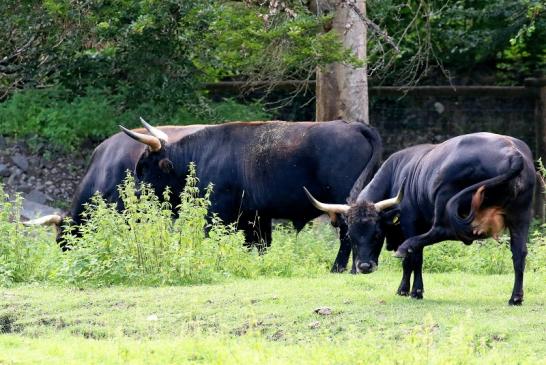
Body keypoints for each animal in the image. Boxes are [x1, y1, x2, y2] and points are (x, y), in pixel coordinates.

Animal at [119, 119, 380, 270]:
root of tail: (353, 126)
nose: (133, 196)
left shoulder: (218, 213)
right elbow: (260, 245)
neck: (199, 156)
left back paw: (340, 267)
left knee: (347, 234)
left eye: (144, 168)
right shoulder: (256, 216)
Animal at [306, 132, 536, 302]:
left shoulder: (411, 223)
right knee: (519, 253)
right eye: (351, 236)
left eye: (377, 234)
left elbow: (414, 258)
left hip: (446, 200)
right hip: (520, 217)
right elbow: (411, 261)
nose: (363, 266)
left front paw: (414, 290)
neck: (396, 175)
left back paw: (405, 247)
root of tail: (513, 153)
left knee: (441, 231)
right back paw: (516, 297)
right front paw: (404, 289)